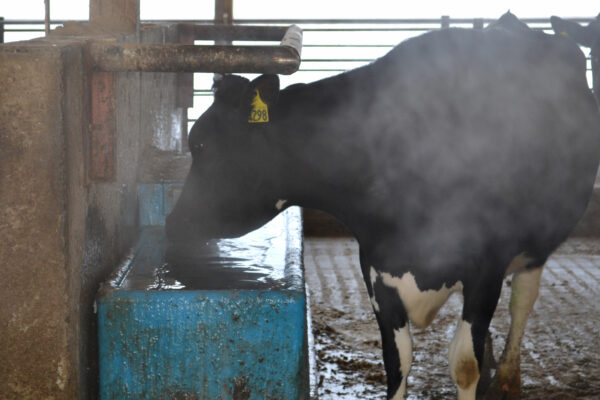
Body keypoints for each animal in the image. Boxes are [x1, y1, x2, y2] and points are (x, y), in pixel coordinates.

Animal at [165, 12, 600, 400]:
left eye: (199, 144)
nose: (173, 222)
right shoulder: (376, 268)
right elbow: (397, 362)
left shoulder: (486, 268)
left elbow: (464, 363)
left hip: (537, 242)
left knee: (523, 300)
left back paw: (508, 377)